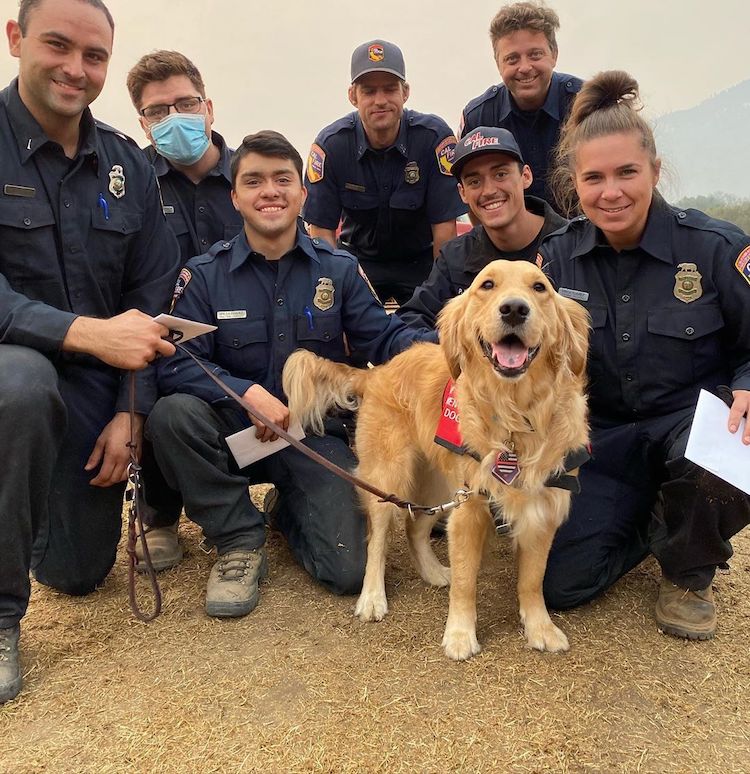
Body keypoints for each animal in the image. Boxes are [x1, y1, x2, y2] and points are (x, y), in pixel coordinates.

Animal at [284, 262, 592, 660]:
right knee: (378, 539)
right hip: (388, 475)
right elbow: (465, 581)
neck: (514, 417)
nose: (514, 309)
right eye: (486, 285)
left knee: (415, 527)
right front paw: (460, 635)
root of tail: (377, 370)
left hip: (436, 483)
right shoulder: (469, 508)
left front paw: (540, 628)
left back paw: (432, 572)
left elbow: (532, 580)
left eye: (540, 288)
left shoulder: (543, 507)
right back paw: (372, 598)